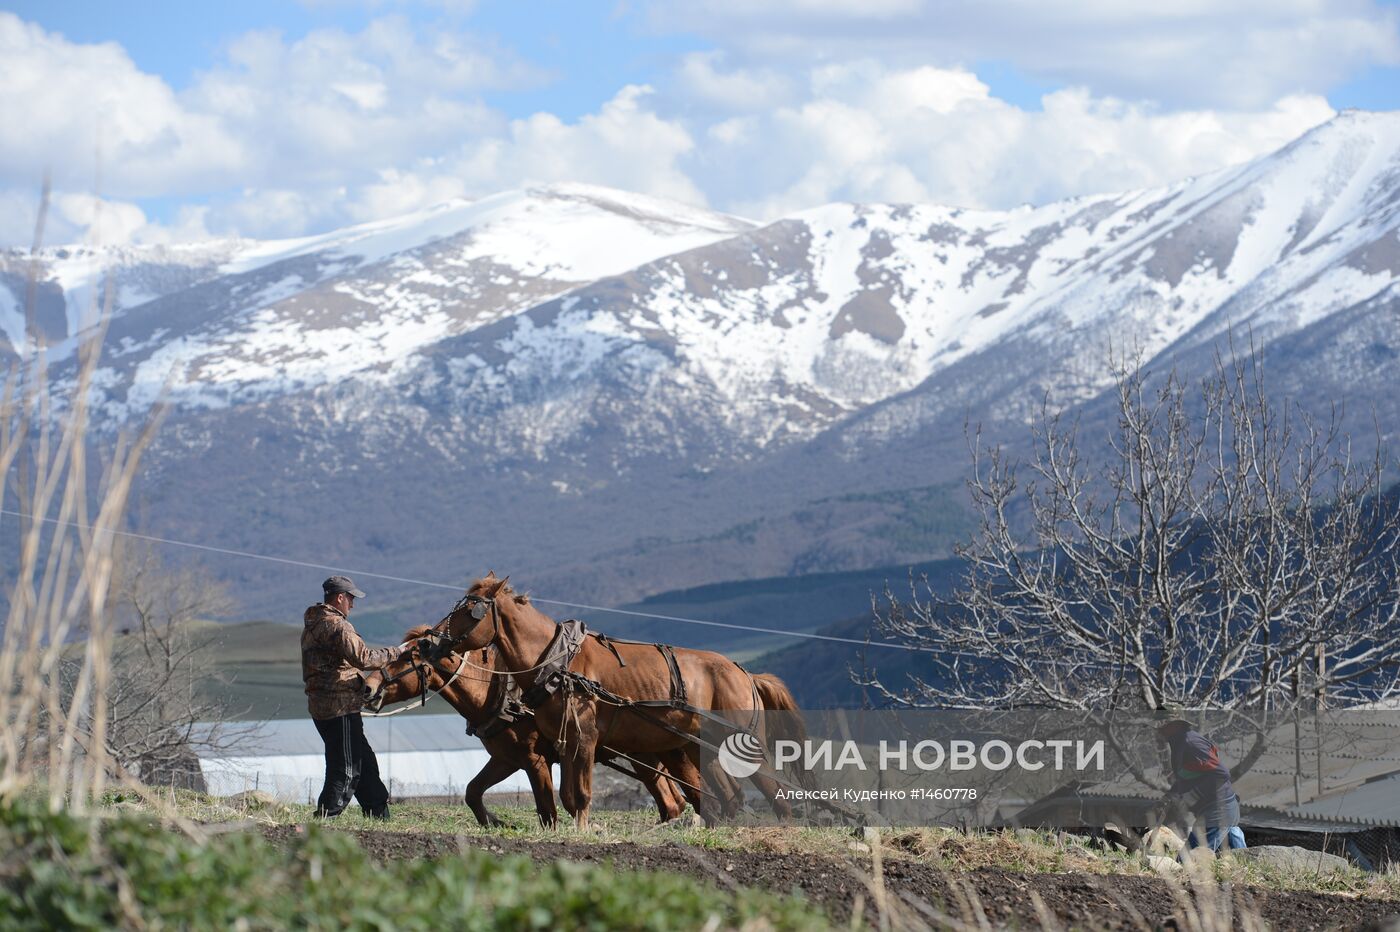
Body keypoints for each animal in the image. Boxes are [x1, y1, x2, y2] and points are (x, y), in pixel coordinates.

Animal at [358, 626, 691, 822]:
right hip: (647, 756)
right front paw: (493, 822)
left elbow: (547, 812)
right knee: (673, 802)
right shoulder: (505, 758)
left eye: (407, 657)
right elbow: (472, 791)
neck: (497, 693)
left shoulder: (535, 760)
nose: (367, 688)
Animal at [436, 570, 795, 822]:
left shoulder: (579, 740)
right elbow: (565, 797)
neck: (557, 663)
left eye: (471, 610)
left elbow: (577, 797)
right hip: (695, 746)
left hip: (738, 742)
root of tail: (744, 673)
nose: (432, 640)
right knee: (726, 796)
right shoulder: (559, 745)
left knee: (773, 793)